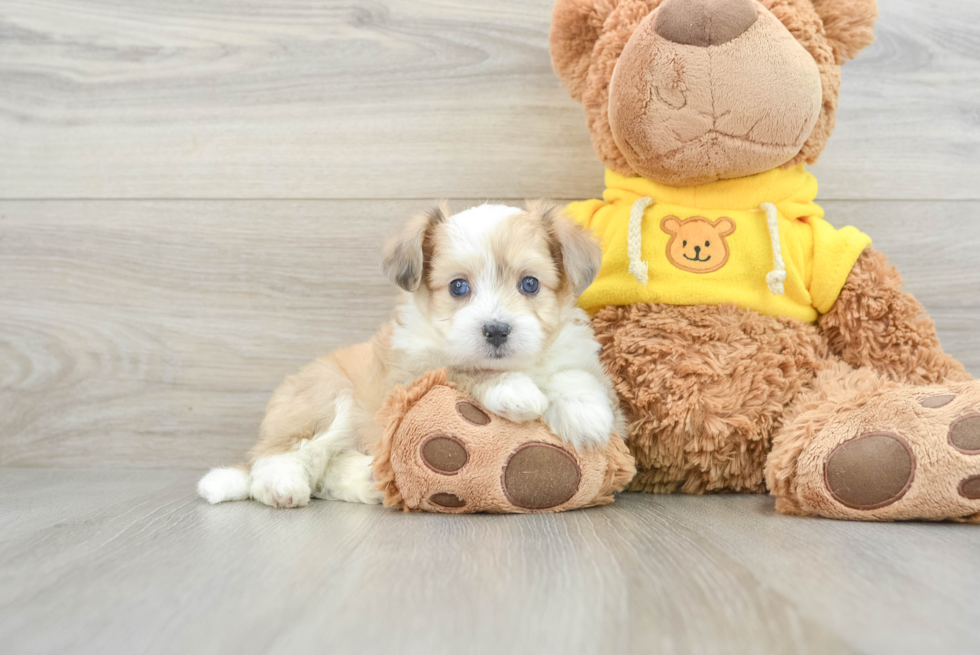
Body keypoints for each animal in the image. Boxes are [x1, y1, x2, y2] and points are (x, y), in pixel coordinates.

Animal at [198, 202, 624, 510]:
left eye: (530, 284)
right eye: (458, 287)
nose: (496, 330)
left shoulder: (574, 353)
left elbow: (575, 374)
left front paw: (585, 414)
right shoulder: (413, 372)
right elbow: (463, 368)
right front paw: (514, 390)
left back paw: (370, 481)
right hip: (325, 401)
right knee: (279, 457)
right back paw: (281, 485)